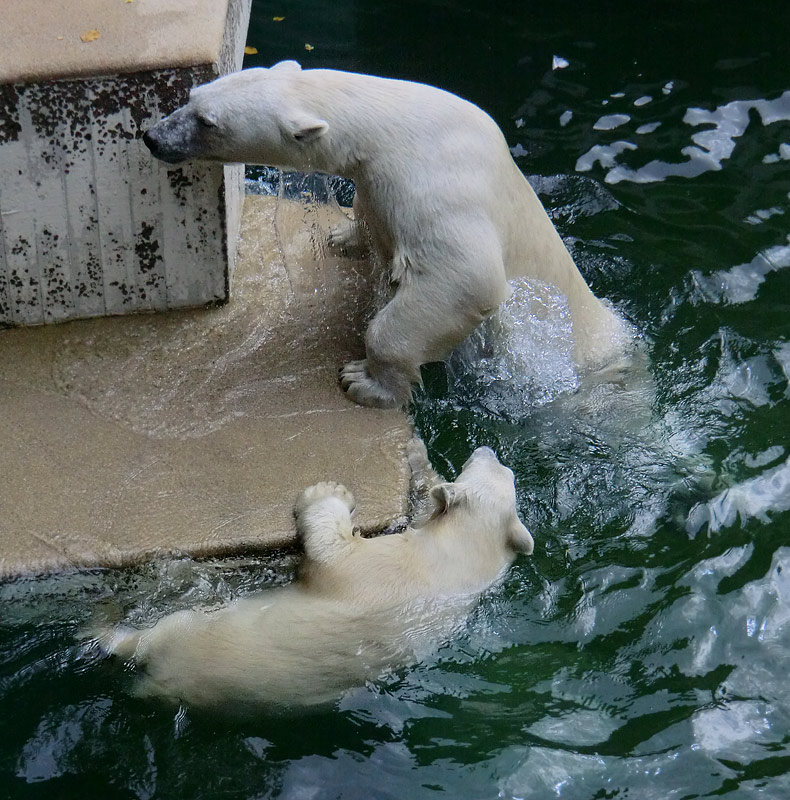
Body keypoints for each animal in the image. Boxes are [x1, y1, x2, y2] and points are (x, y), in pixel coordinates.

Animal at [96, 444, 536, 712]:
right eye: (506, 471)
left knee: (158, 632)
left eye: (487, 466)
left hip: (190, 637)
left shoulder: (375, 569)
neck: (451, 565)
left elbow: (329, 549)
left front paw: (329, 491)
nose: (486, 449)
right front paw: (416, 454)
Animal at [144, 61, 632, 410]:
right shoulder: (379, 179)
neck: (393, 123)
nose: (152, 136)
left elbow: (465, 279)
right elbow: (369, 213)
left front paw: (364, 381)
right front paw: (344, 237)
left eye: (207, 121)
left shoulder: (435, 185)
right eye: (192, 96)